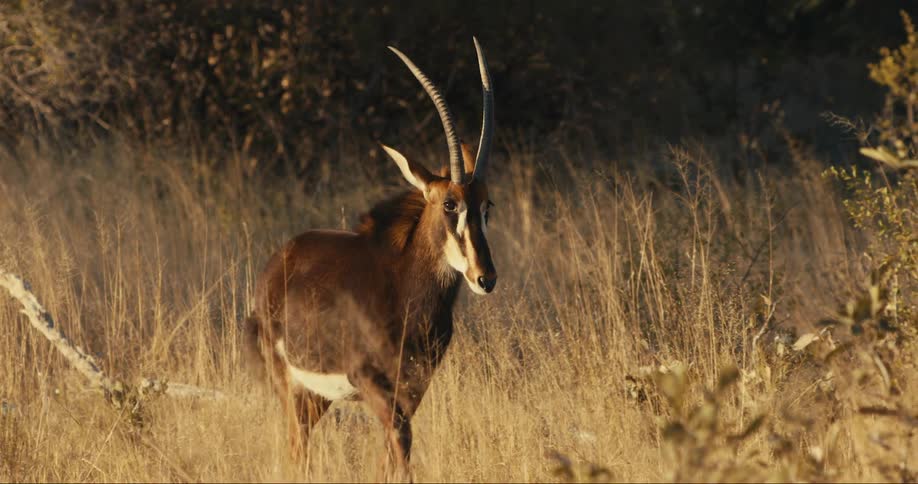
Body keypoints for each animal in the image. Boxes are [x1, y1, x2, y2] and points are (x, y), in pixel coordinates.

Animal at [244, 38, 496, 476]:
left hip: (318, 397)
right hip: (291, 385)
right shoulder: (370, 381)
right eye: (450, 203)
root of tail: (279, 260)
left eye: (488, 207)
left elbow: (391, 455)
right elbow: (400, 444)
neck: (405, 291)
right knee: (297, 447)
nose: (486, 277)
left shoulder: (413, 388)